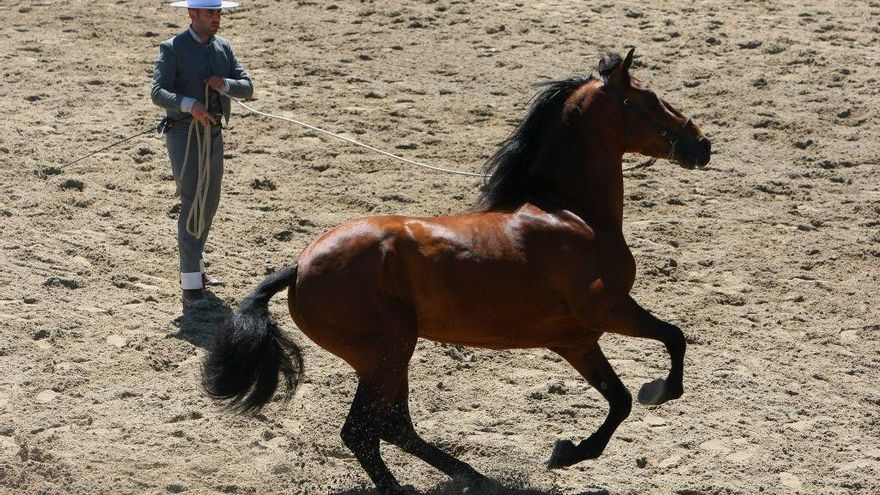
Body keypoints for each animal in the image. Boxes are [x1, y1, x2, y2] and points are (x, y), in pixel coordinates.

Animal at [203, 47, 712, 495]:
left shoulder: (575, 339)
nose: (701, 144)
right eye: (649, 99)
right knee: (362, 431)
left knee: (394, 428)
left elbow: (619, 398)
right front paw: (658, 390)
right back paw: (410, 485)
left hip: (390, 358)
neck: (571, 212)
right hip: (386, 355)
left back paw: (471, 474)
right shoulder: (608, 309)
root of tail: (300, 265)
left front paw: (568, 451)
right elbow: (673, 339)